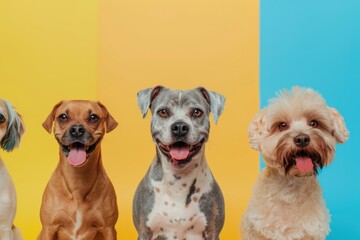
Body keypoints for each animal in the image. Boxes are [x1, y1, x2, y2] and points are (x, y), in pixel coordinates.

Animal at [38, 100, 119, 240]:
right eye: (63, 117)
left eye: (93, 117)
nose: (76, 130)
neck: (77, 180)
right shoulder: (48, 228)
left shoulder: (109, 229)